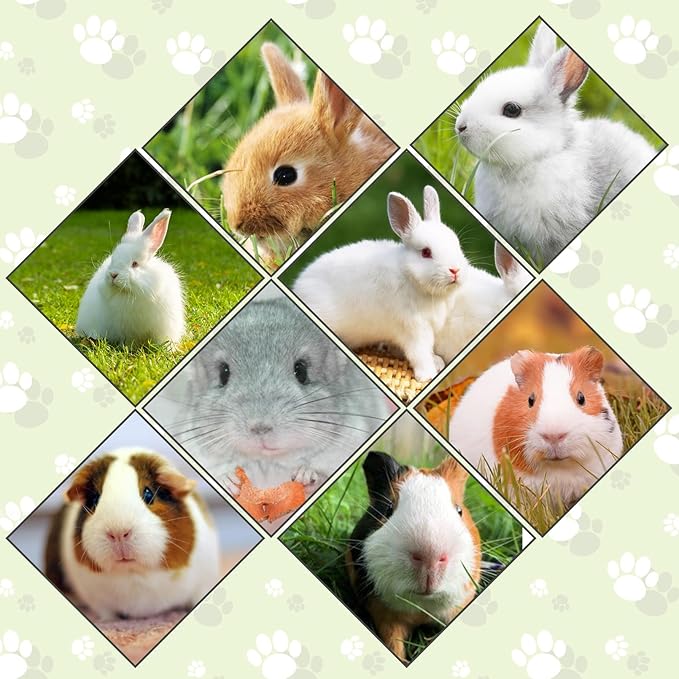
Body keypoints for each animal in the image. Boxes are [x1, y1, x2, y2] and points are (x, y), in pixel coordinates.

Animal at [45, 448, 220, 621]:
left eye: (148, 494)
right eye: (94, 499)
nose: (118, 533)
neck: (134, 573)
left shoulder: (203, 583)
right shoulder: (97, 601)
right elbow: (107, 614)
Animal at [293, 186, 528, 382]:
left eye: (457, 244)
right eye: (426, 252)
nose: (455, 270)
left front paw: (436, 364)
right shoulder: (414, 327)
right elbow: (419, 353)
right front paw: (428, 375)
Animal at [346, 451, 480, 662]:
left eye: (459, 510)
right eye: (388, 509)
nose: (430, 556)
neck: (422, 607)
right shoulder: (385, 616)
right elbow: (394, 644)